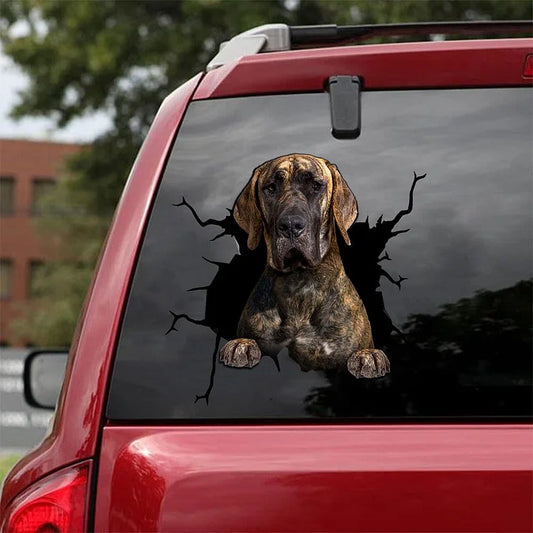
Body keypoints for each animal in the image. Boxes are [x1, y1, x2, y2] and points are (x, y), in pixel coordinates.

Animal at [218, 154, 388, 378]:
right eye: (270, 188)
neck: (298, 283)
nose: (290, 225)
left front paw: (367, 356)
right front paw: (242, 345)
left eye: (316, 186)